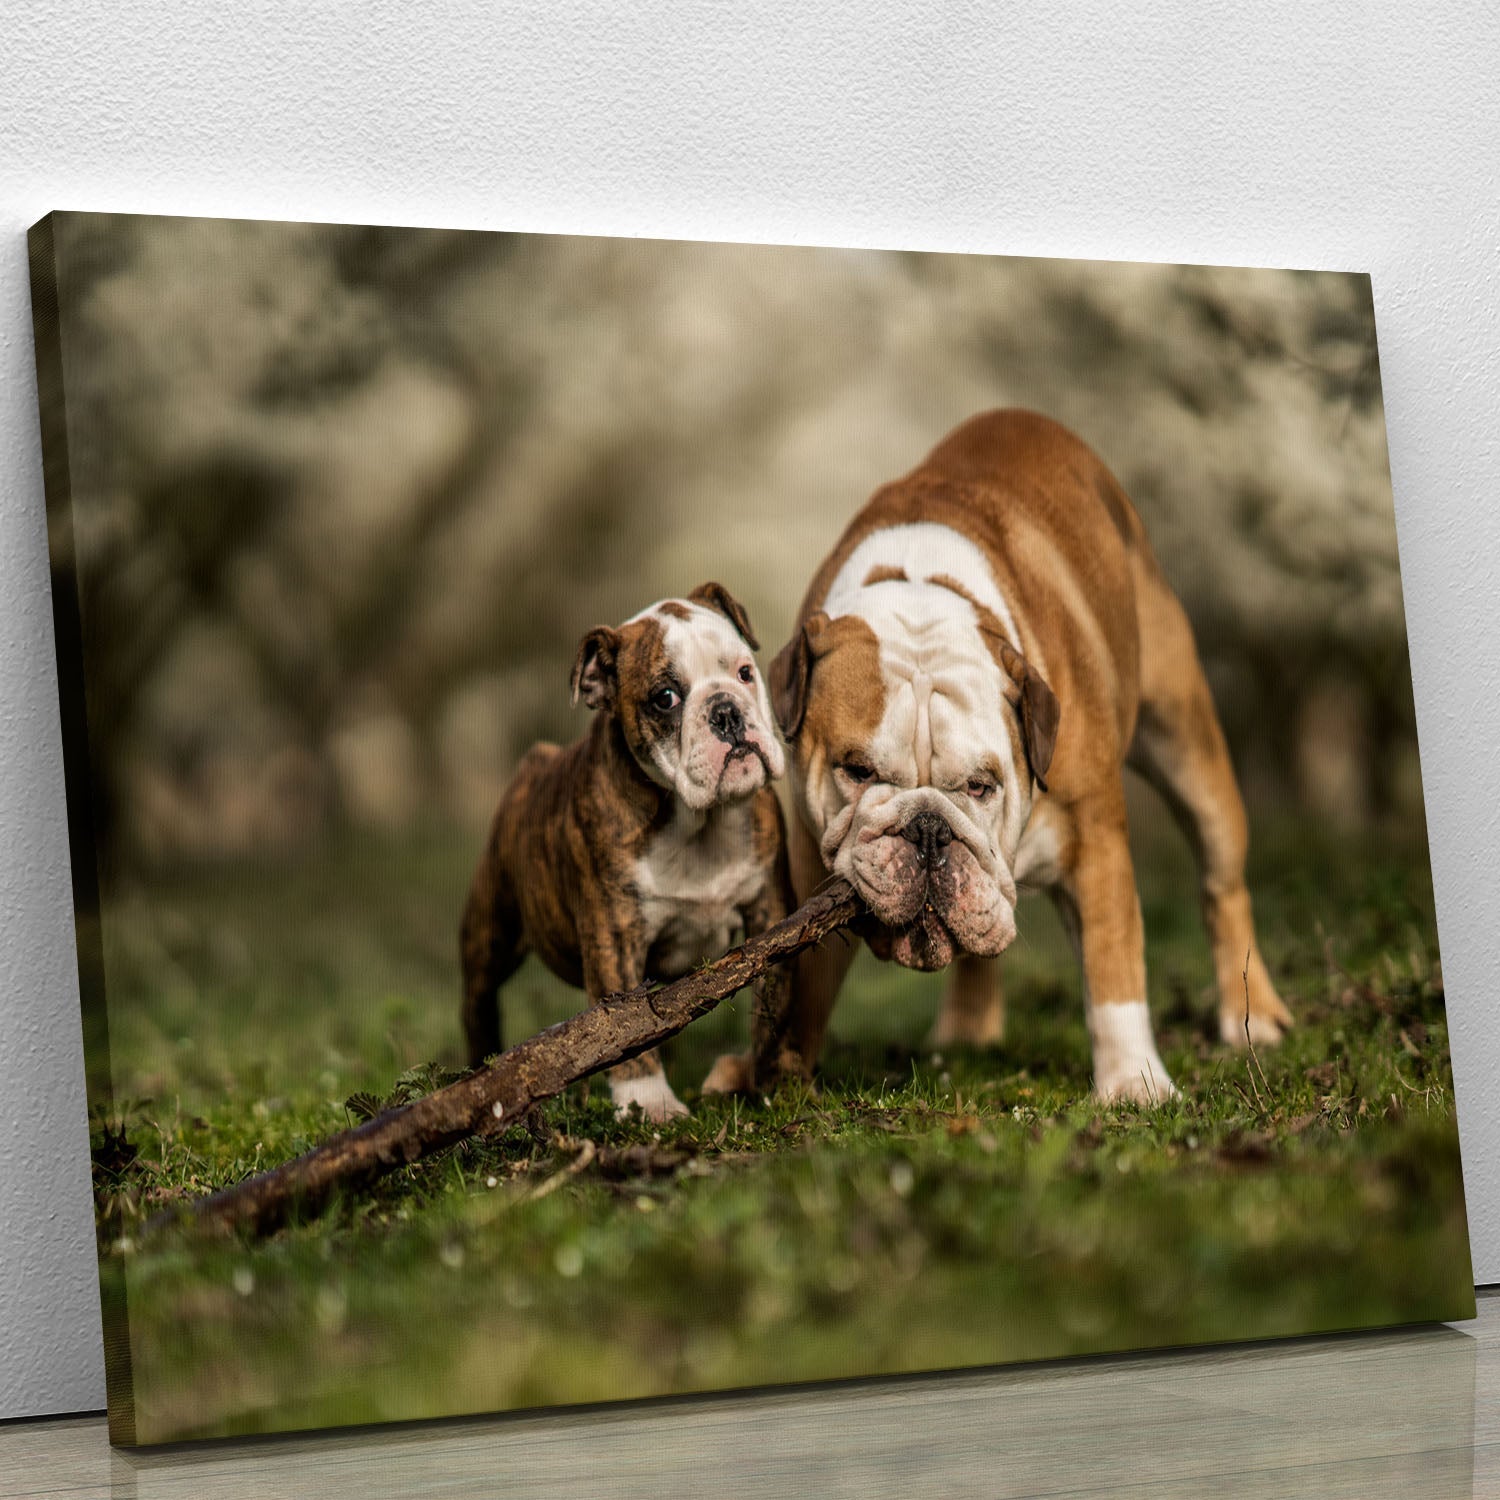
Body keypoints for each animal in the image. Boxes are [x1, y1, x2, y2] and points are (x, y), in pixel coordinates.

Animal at [459, 582, 790, 1123]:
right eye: (665, 698)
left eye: (744, 672)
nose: (725, 710)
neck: (696, 822)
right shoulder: (614, 936)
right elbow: (626, 1026)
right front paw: (650, 1104)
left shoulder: (770, 912)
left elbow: (775, 995)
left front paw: (774, 1074)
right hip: (491, 931)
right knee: (478, 1001)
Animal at [712, 409, 1291, 1105]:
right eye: (857, 771)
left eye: (982, 786)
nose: (929, 829)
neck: (922, 593)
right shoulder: (805, 864)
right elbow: (804, 976)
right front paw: (777, 1069)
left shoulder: (1096, 842)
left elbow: (1114, 964)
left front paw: (1135, 1083)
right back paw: (968, 1027)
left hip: (1186, 743)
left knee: (1221, 883)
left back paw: (1251, 1016)